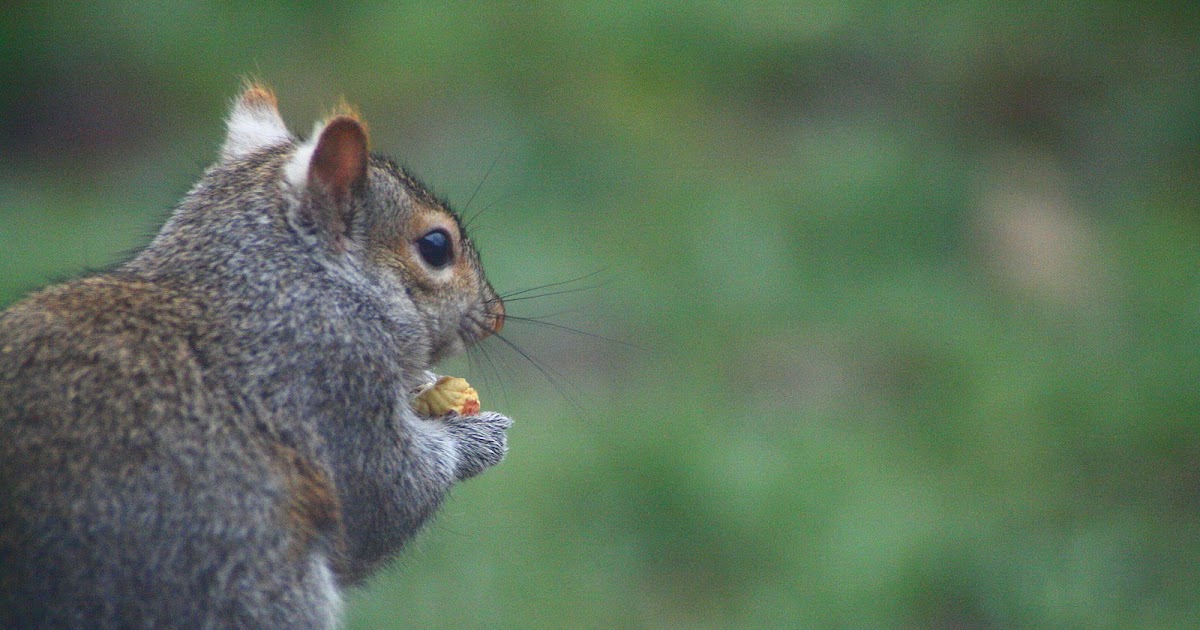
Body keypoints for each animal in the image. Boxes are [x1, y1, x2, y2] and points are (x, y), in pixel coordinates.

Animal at [0, 85, 512, 628]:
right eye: (435, 246)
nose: (496, 315)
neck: (273, 282)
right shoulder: (334, 383)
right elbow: (389, 497)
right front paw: (477, 436)